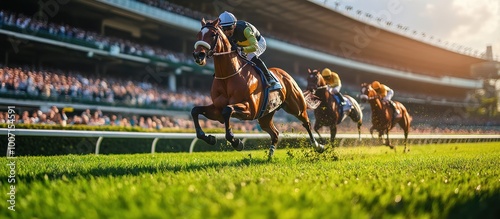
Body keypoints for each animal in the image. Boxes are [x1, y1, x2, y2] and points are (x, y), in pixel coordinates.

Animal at [190, 18, 324, 157]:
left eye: (213, 34)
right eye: (198, 35)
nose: (198, 55)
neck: (228, 76)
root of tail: (286, 74)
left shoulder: (250, 108)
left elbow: (227, 110)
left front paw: (236, 142)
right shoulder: (217, 109)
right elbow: (195, 110)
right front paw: (209, 138)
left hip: (296, 107)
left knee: (306, 123)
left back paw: (318, 146)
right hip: (266, 115)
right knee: (275, 133)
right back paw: (269, 156)